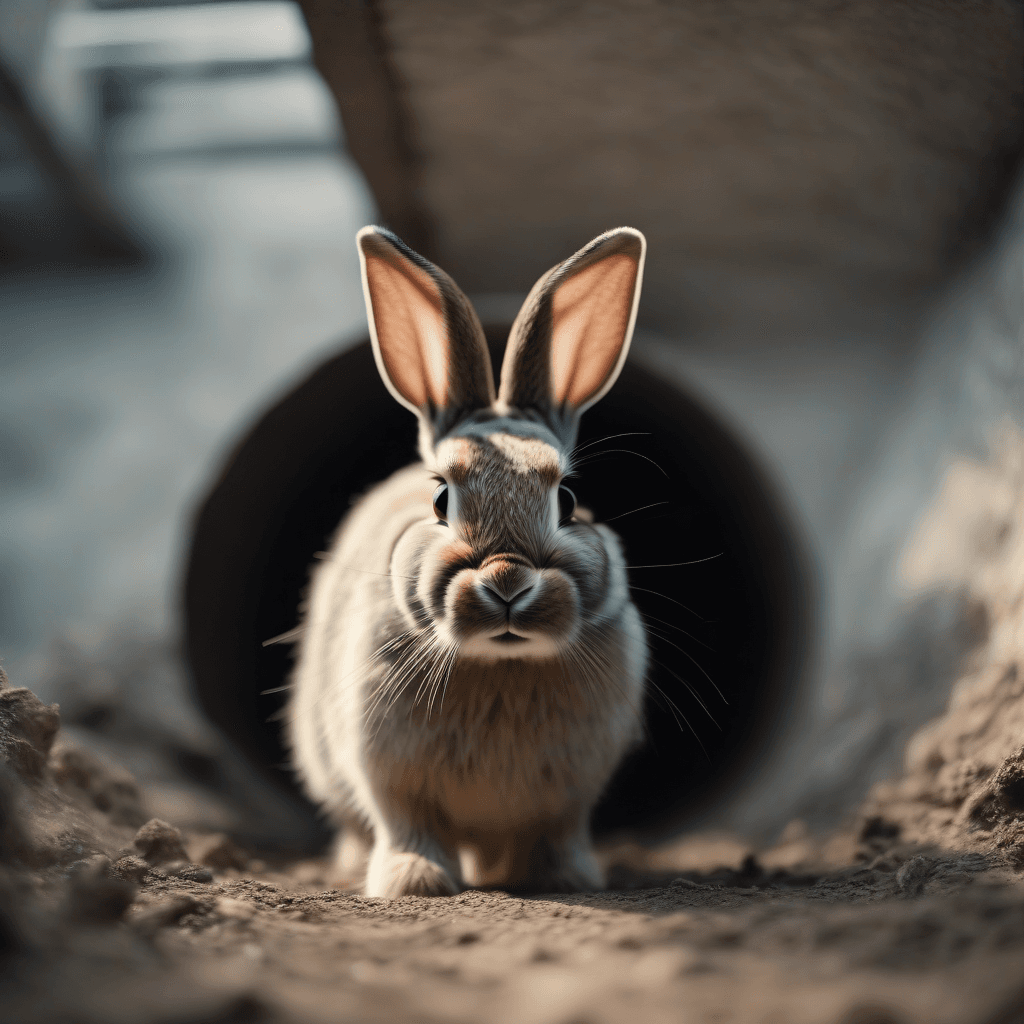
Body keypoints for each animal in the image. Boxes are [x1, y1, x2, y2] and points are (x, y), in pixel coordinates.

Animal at [286, 225, 650, 897]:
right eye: (440, 498)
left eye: (567, 499)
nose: (507, 581)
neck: (500, 665)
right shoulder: (391, 778)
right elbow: (408, 825)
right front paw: (416, 882)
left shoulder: (569, 797)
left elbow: (556, 831)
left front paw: (564, 879)